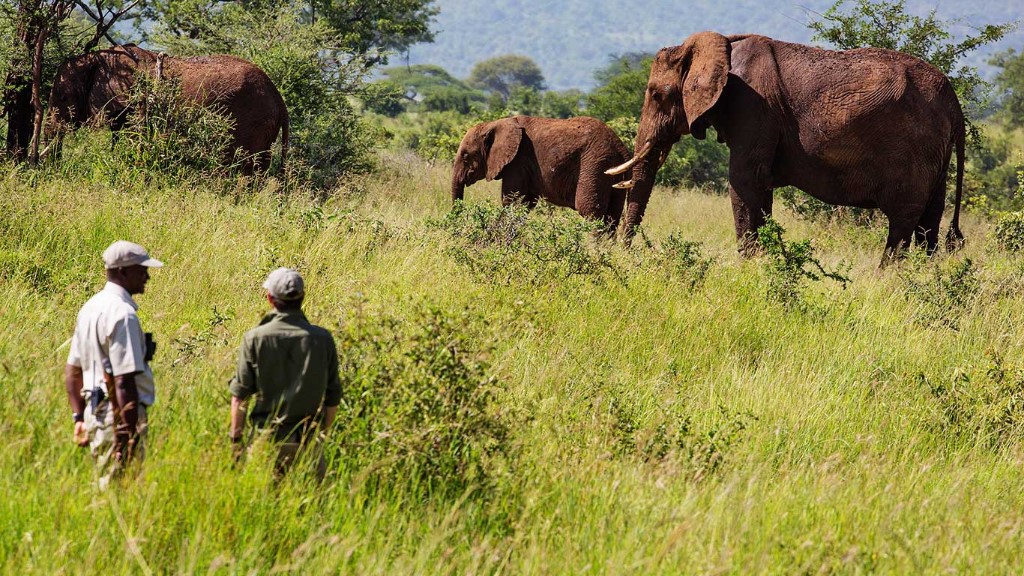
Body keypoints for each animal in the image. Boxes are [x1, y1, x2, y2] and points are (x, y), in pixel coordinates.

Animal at [450, 115, 626, 231]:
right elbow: (525, 204)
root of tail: (620, 146)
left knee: (591, 212)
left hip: (595, 165)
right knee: (612, 217)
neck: (495, 123)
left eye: (465, 156)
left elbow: (512, 202)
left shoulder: (518, 161)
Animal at [610, 31, 962, 260]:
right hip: (936, 156)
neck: (721, 44)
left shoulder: (753, 107)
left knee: (903, 223)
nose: (623, 253)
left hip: (915, 150)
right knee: (929, 224)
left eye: (657, 94)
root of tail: (953, 100)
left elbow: (743, 181)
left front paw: (747, 265)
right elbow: (760, 190)